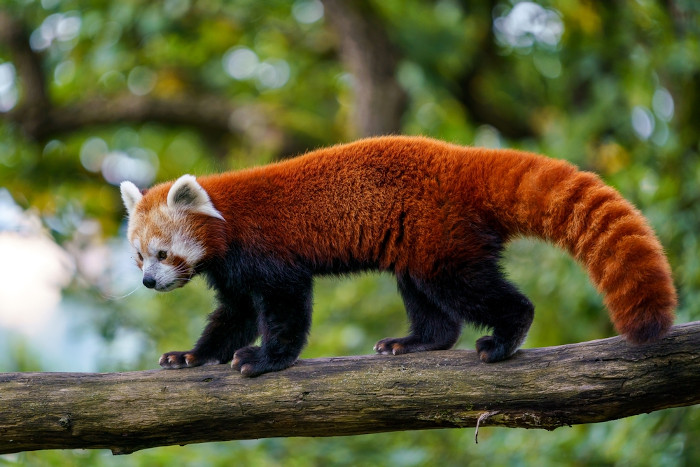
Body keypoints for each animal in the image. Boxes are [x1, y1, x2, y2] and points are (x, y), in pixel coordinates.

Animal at [121, 134, 680, 376]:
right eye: (139, 259)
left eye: (163, 253)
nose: (148, 283)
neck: (226, 219)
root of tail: (462, 159)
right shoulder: (232, 273)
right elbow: (232, 315)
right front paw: (192, 355)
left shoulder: (267, 253)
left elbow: (285, 308)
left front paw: (264, 358)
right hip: (417, 243)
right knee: (429, 302)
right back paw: (416, 342)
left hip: (442, 238)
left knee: (470, 289)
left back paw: (504, 337)